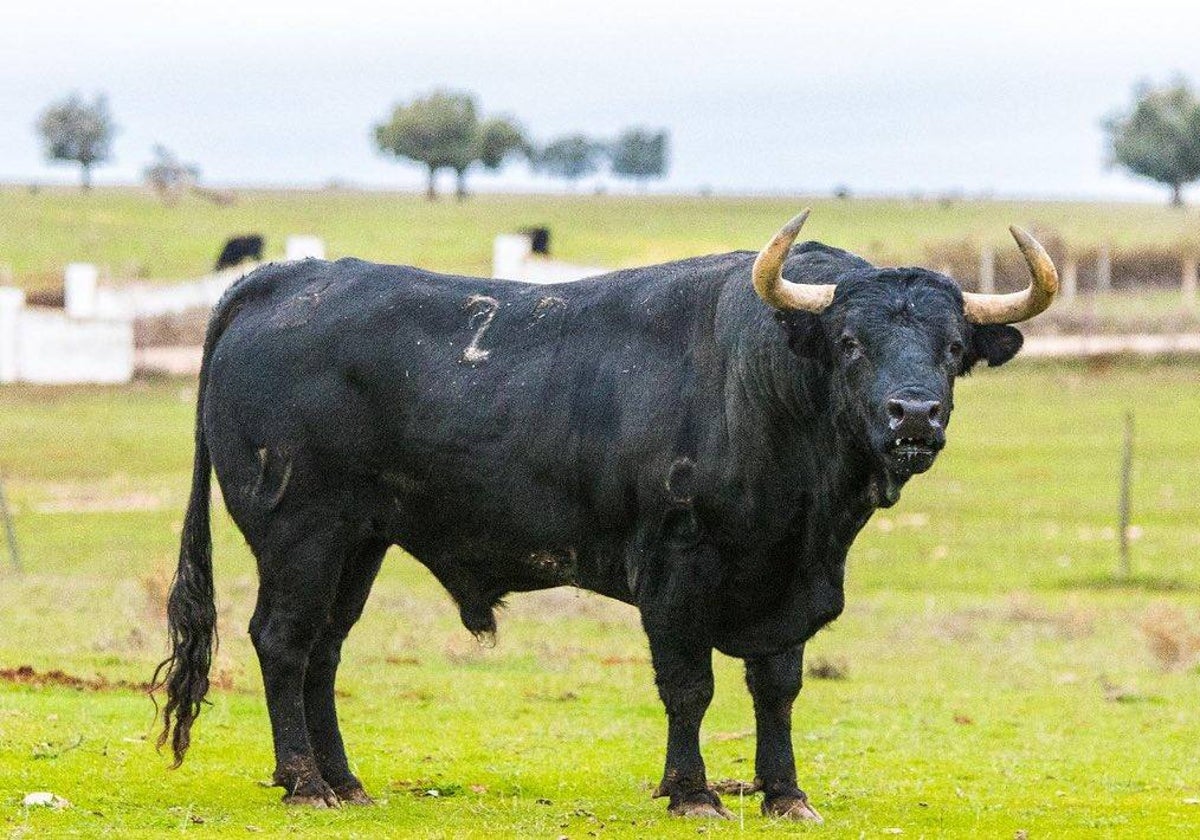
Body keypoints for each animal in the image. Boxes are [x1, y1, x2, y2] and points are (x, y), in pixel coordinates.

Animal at [154, 213, 1056, 825]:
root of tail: (282, 281)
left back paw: (345, 781)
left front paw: (785, 793)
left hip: (360, 543)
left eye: (951, 349)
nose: (915, 415)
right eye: (852, 343)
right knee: (283, 641)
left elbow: (777, 687)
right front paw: (692, 793)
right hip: (301, 533)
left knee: (324, 651)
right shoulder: (678, 569)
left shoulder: (790, 583)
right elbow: (689, 686)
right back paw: (306, 784)